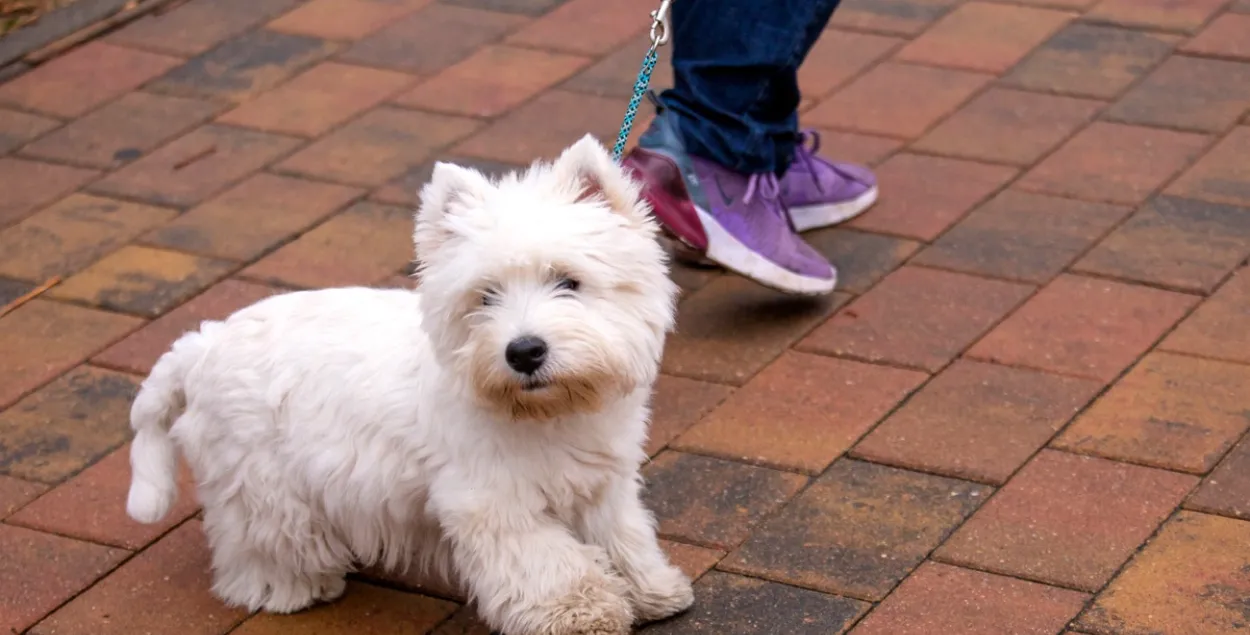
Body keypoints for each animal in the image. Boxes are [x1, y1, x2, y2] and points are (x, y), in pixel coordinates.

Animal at [126, 136, 695, 632]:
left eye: (568, 281)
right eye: (485, 296)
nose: (524, 351)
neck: (550, 411)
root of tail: (202, 345)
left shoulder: (602, 483)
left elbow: (623, 535)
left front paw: (652, 590)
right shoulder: (493, 501)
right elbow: (546, 563)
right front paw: (582, 613)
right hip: (262, 481)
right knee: (258, 543)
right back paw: (289, 589)